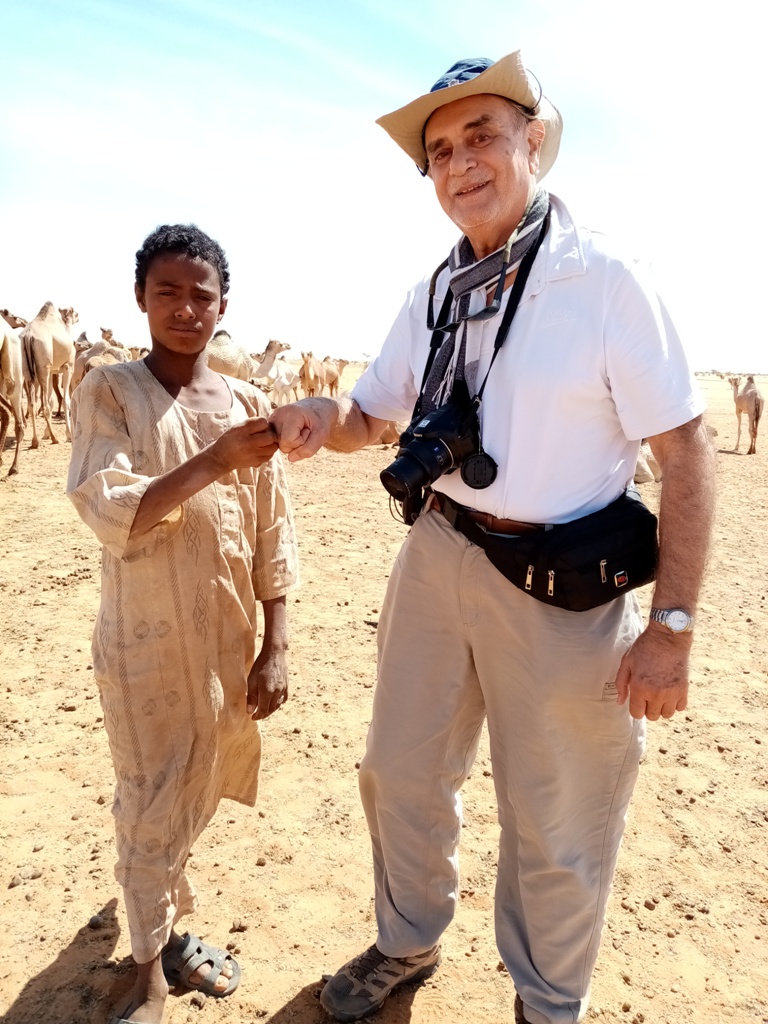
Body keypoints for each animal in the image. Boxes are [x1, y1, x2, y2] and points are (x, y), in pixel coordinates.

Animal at [19, 299, 78, 444]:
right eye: (74, 312)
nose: (78, 315)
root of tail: (28, 336)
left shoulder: (52, 372)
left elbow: (52, 401)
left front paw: (45, 434)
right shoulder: (68, 367)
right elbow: (66, 400)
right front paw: (69, 435)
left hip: (28, 369)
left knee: (32, 404)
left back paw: (35, 440)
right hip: (43, 368)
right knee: (44, 404)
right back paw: (54, 438)